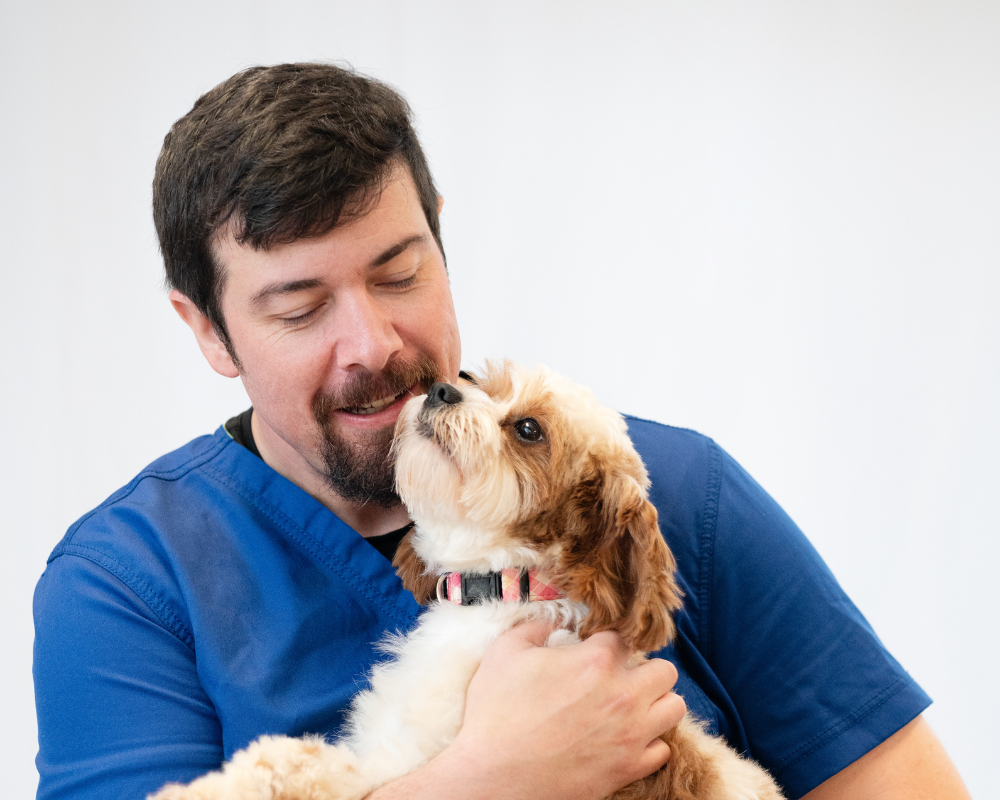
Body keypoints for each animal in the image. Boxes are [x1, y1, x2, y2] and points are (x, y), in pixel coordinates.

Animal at [152, 364, 784, 800]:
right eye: (474, 379)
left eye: (528, 429)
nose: (441, 390)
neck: (502, 588)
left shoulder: (405, 759)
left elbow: (294, 766)